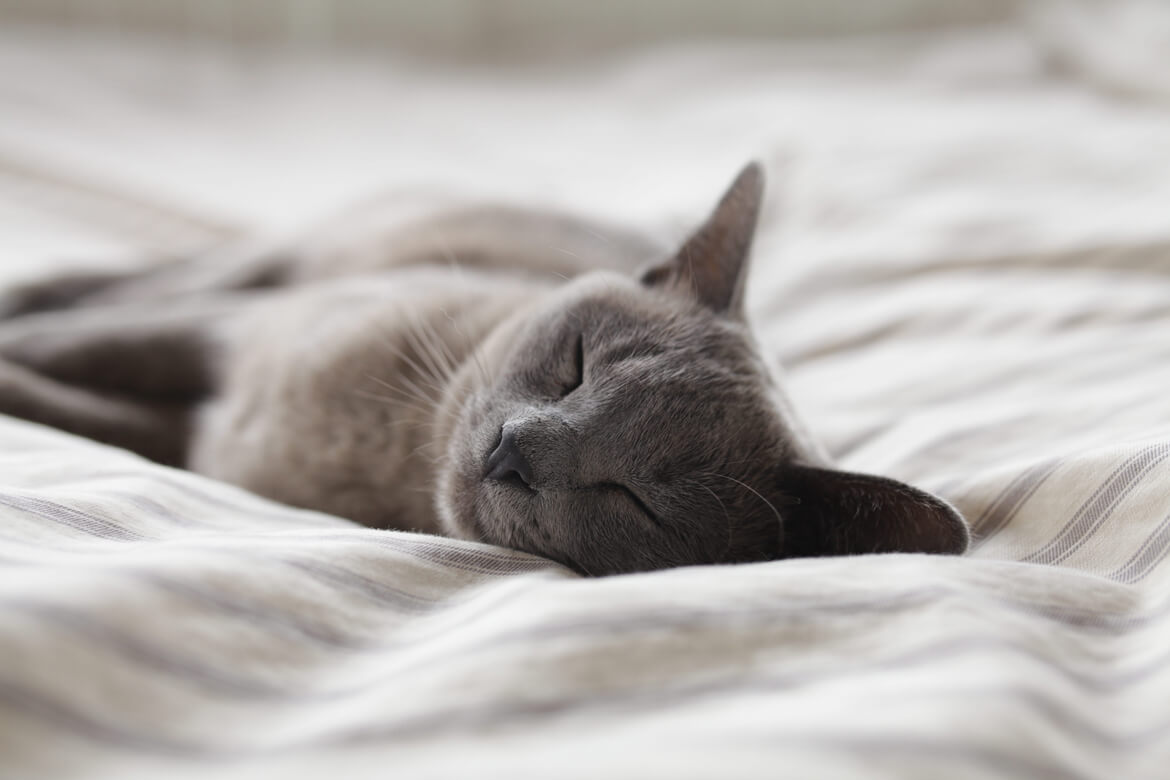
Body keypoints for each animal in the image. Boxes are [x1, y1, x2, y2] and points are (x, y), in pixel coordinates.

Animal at [0, 163, 968, 573]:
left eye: (636, 499)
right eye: (575, 365)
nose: (513, 452)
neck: (387, 455)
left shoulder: (190, 433)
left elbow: (75, 407)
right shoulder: (225, 336)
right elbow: (79, 348)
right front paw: (18, 341)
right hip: (278, 264)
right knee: (145, 278)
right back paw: (32, 287)